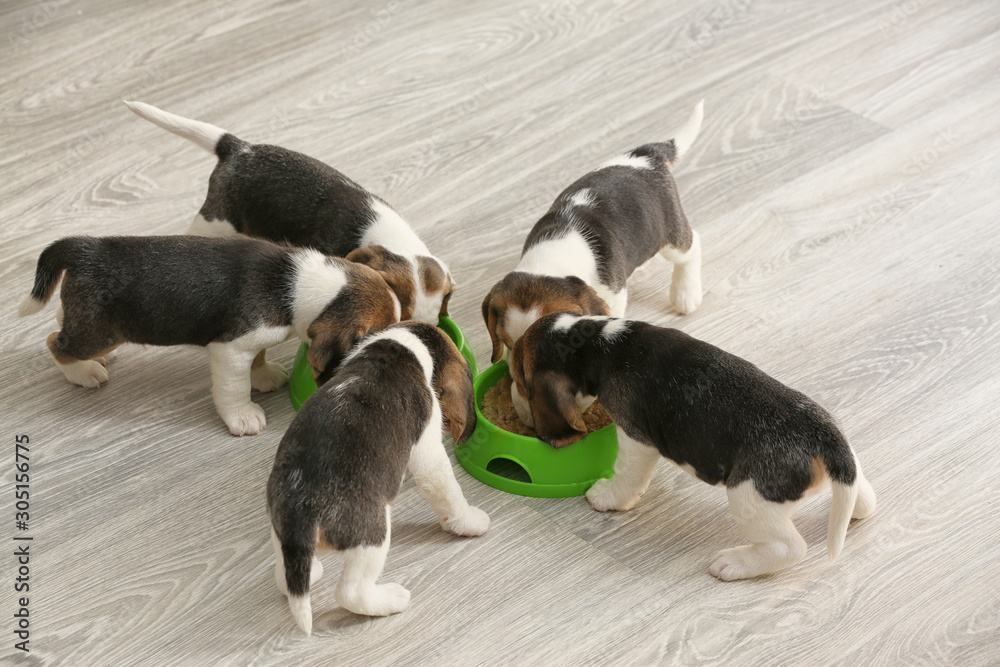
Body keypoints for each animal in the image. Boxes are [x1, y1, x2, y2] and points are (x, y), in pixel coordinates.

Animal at [17, 236, 400, 438]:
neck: (296, 284)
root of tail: (85, 247)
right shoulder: (229, 349)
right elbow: (234, 388)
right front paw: (243, 416)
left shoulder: (250, 341)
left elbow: (258, 358)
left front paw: (263, 374)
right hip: (99, 332)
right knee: (56, 342)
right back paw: (84, 371)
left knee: (61, 319)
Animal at [268, 320, 490, 636]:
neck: (398, 347)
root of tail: (303, 509)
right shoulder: (429, 452)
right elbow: (448, 490)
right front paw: (468, 521)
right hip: (372, 535)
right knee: (350, 592)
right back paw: (391, 600)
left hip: (280, 527)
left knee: (285, 573)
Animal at [482, 100, 704, 366]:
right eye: (507, 343)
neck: (550, 259)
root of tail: (647, 156)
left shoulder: (613, 298)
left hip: (670, 233)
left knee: (692, 247)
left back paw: (686, 294)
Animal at [512, 314, 880, 580]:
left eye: (518, 377)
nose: (518, 412)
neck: (600, 342)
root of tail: (826, 439)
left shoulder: (636, 439)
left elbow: (626, 474)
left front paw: (609, 497)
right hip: (844, 462)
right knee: (863, 492)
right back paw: (855, 508)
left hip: (748, 495)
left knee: (789, 548)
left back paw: (735, 564)